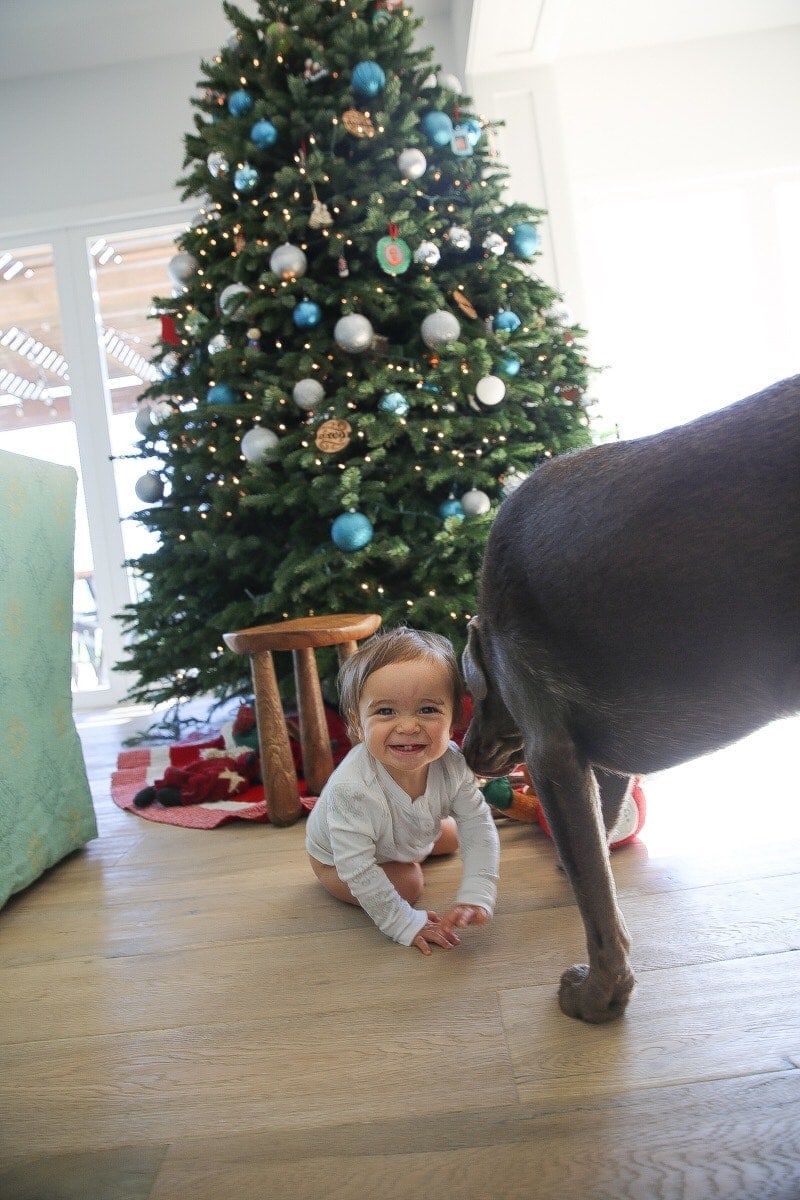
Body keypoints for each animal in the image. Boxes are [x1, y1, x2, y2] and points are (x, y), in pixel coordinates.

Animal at [462, 374, 800, 1022]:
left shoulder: (552, 753)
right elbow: (597, 856)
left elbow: (597, 904)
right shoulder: (598, 761)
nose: (464, 751)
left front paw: (597, 998)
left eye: (476, 694)